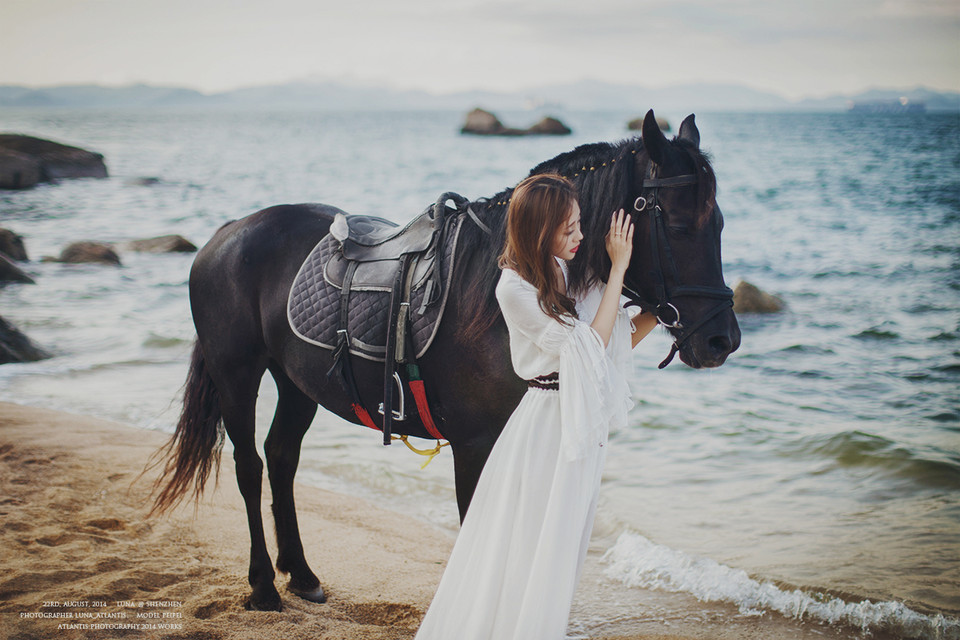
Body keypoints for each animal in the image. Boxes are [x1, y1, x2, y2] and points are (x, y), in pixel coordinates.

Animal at [149, 110, 741, 611]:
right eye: (680, 226)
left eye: (720, 224)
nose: (722, 340)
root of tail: (227, 232)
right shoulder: (475, 445)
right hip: (237, 374)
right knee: (249, 466)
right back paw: (263, 586)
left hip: (297, 383)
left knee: (281, 457)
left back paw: (301, 574)